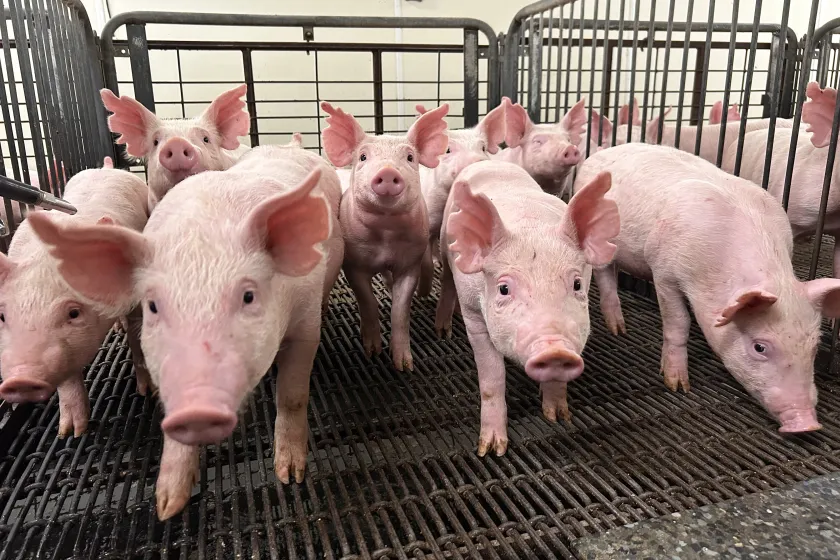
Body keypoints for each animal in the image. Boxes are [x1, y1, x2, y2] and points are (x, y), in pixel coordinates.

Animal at [0, 159, 150, 438]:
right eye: (3, 316)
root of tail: (106, 166)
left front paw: (147, 391)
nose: (21, 379)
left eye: (74, 312)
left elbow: (138, 335)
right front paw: (71, 432)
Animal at [27, 144, 343, 520]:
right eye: (152, 306)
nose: (197, 408)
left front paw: (290, 475)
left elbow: (292, 396)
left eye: (248, 296)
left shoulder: (306, 321)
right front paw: (166, 507)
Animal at [321, 101, 449, 371]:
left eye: (410, 157)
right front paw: (372, 352)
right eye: (363, 156)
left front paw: (404, 365)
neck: (386, 236)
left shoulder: (410, 262)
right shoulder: (353, 263)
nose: (389, 172)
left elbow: (401, 309)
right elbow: (367, 300)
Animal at [435, 161, 619, 455]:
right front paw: (492, 449)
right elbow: (492, 377)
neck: (530, 226)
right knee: (446, 280)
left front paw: (558, 417)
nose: (555, 349)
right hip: (444, 243)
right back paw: (443, 328)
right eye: (504, 289)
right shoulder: (474, 317)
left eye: (577, 284)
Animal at [580, 142, 840, 433]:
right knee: (605, 276)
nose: (807, 424)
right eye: (760, 347)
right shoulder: (663, 271)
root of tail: (605, 150)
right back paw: (618, 330)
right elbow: (678, 323)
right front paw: (677, 385)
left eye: (815, 346)